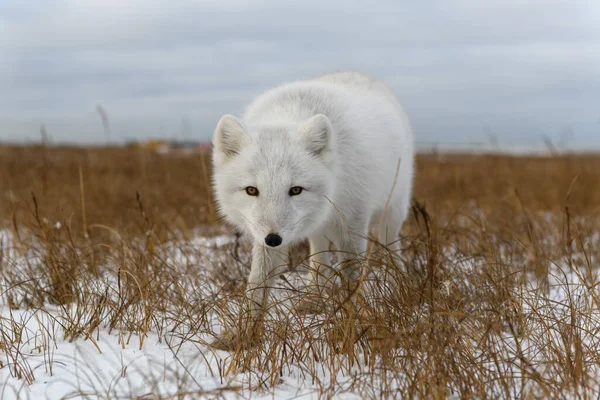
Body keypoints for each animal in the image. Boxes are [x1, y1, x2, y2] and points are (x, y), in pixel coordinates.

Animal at [213, 71, 414, 328]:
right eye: (251, 190)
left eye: (296, 190)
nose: (274, 239)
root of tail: (359, 73)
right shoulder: (263, 240)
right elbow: (257, 283)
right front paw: (244, 332)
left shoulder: (352, 221)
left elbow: (352, 273)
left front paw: (355, 319)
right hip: (316, 229)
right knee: (319, 258)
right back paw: (312, 299)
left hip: (392, 213)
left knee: (391, 247)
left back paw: (400, 285)